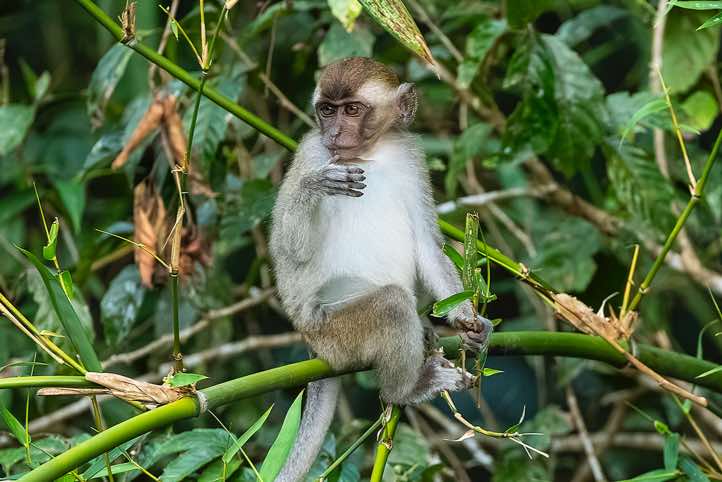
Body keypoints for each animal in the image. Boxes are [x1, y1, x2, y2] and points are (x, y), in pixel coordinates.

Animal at [269, 57, 492, 482]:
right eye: (327, 110)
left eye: (352, 110)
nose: (335, 132)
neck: (370, 153)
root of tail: (311, 343)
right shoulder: (311, 151)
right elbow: (289, 251)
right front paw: (315, 185)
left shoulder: (410, 155)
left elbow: (427, 244)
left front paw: (468, 322)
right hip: (335, 333)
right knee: (390, 304)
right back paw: (405, 390)